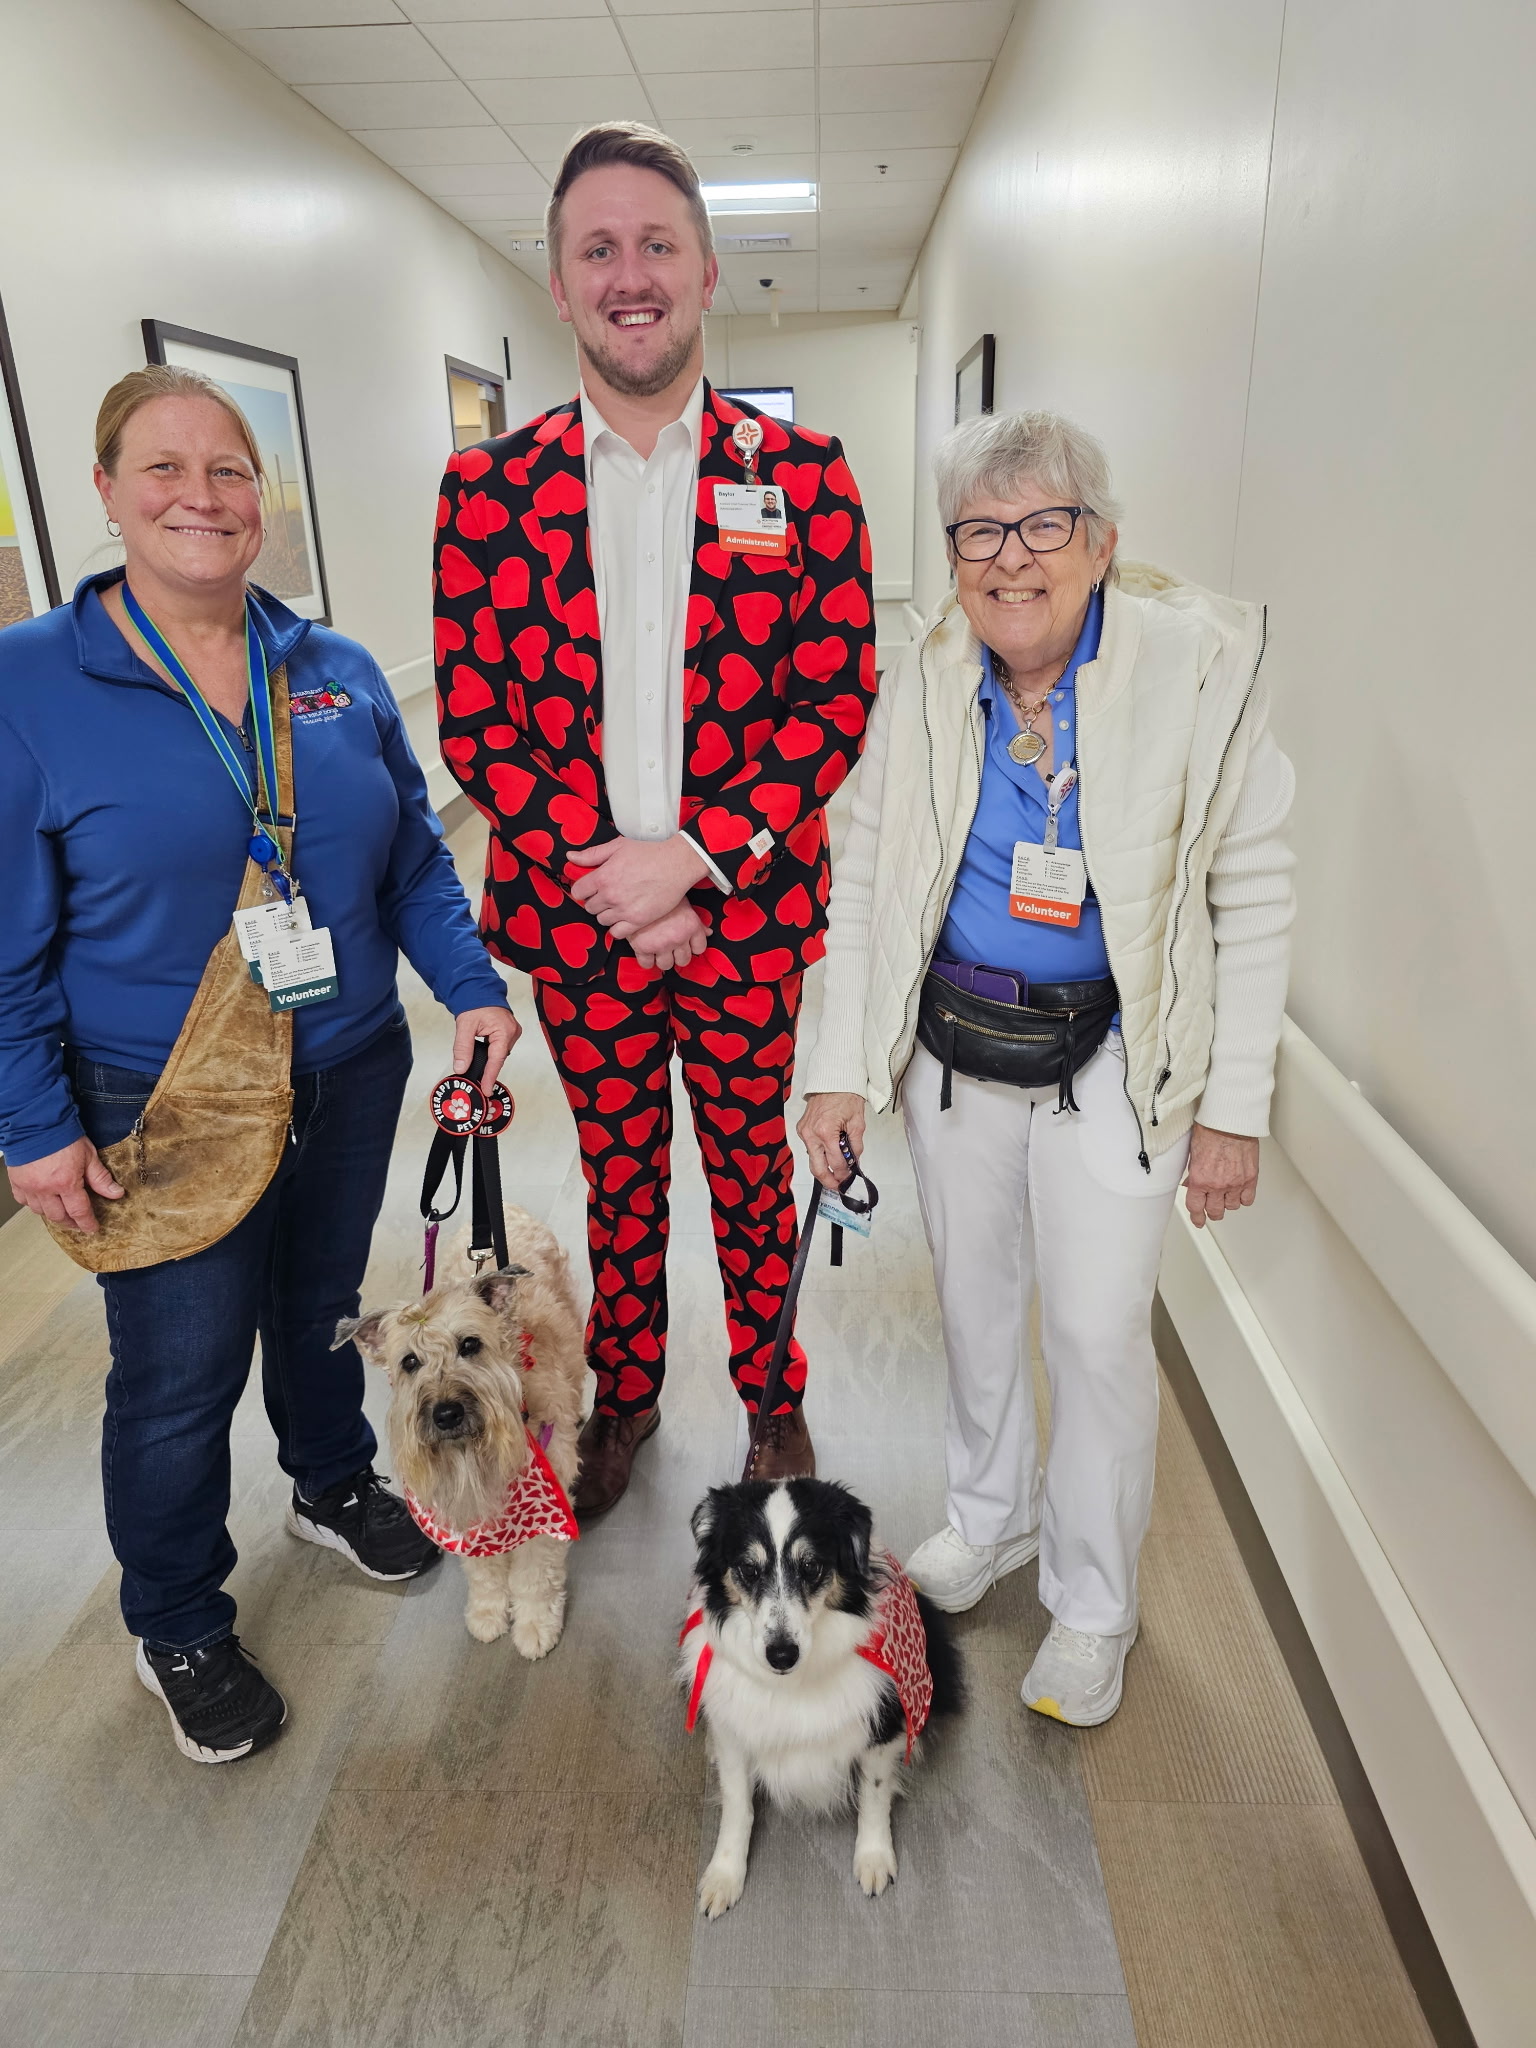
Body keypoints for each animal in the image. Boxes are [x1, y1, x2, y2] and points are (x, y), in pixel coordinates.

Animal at [684, 1482, 962, 1908]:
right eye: (748, 1570)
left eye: (811, 1567)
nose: (782, 1655)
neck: (791, 1684)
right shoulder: (735, 1731)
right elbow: (737, 1804)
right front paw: (724, 1875)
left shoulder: (880, 1725)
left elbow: (873, 1795)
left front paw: (874, 1858)